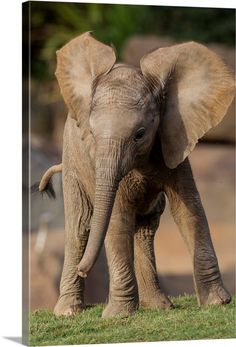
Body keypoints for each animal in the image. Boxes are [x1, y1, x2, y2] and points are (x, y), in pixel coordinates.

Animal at [37, 32, 234, 318]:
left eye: (140, 134)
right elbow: (116, 219)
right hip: (72, 162)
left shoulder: (173, 141)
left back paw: (159, 306)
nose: (84, 270)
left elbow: (189, 210)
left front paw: (217, 302)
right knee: (79, 227)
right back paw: (68, 312)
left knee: (145, 227)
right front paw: (118, 316)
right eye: (92, 134)